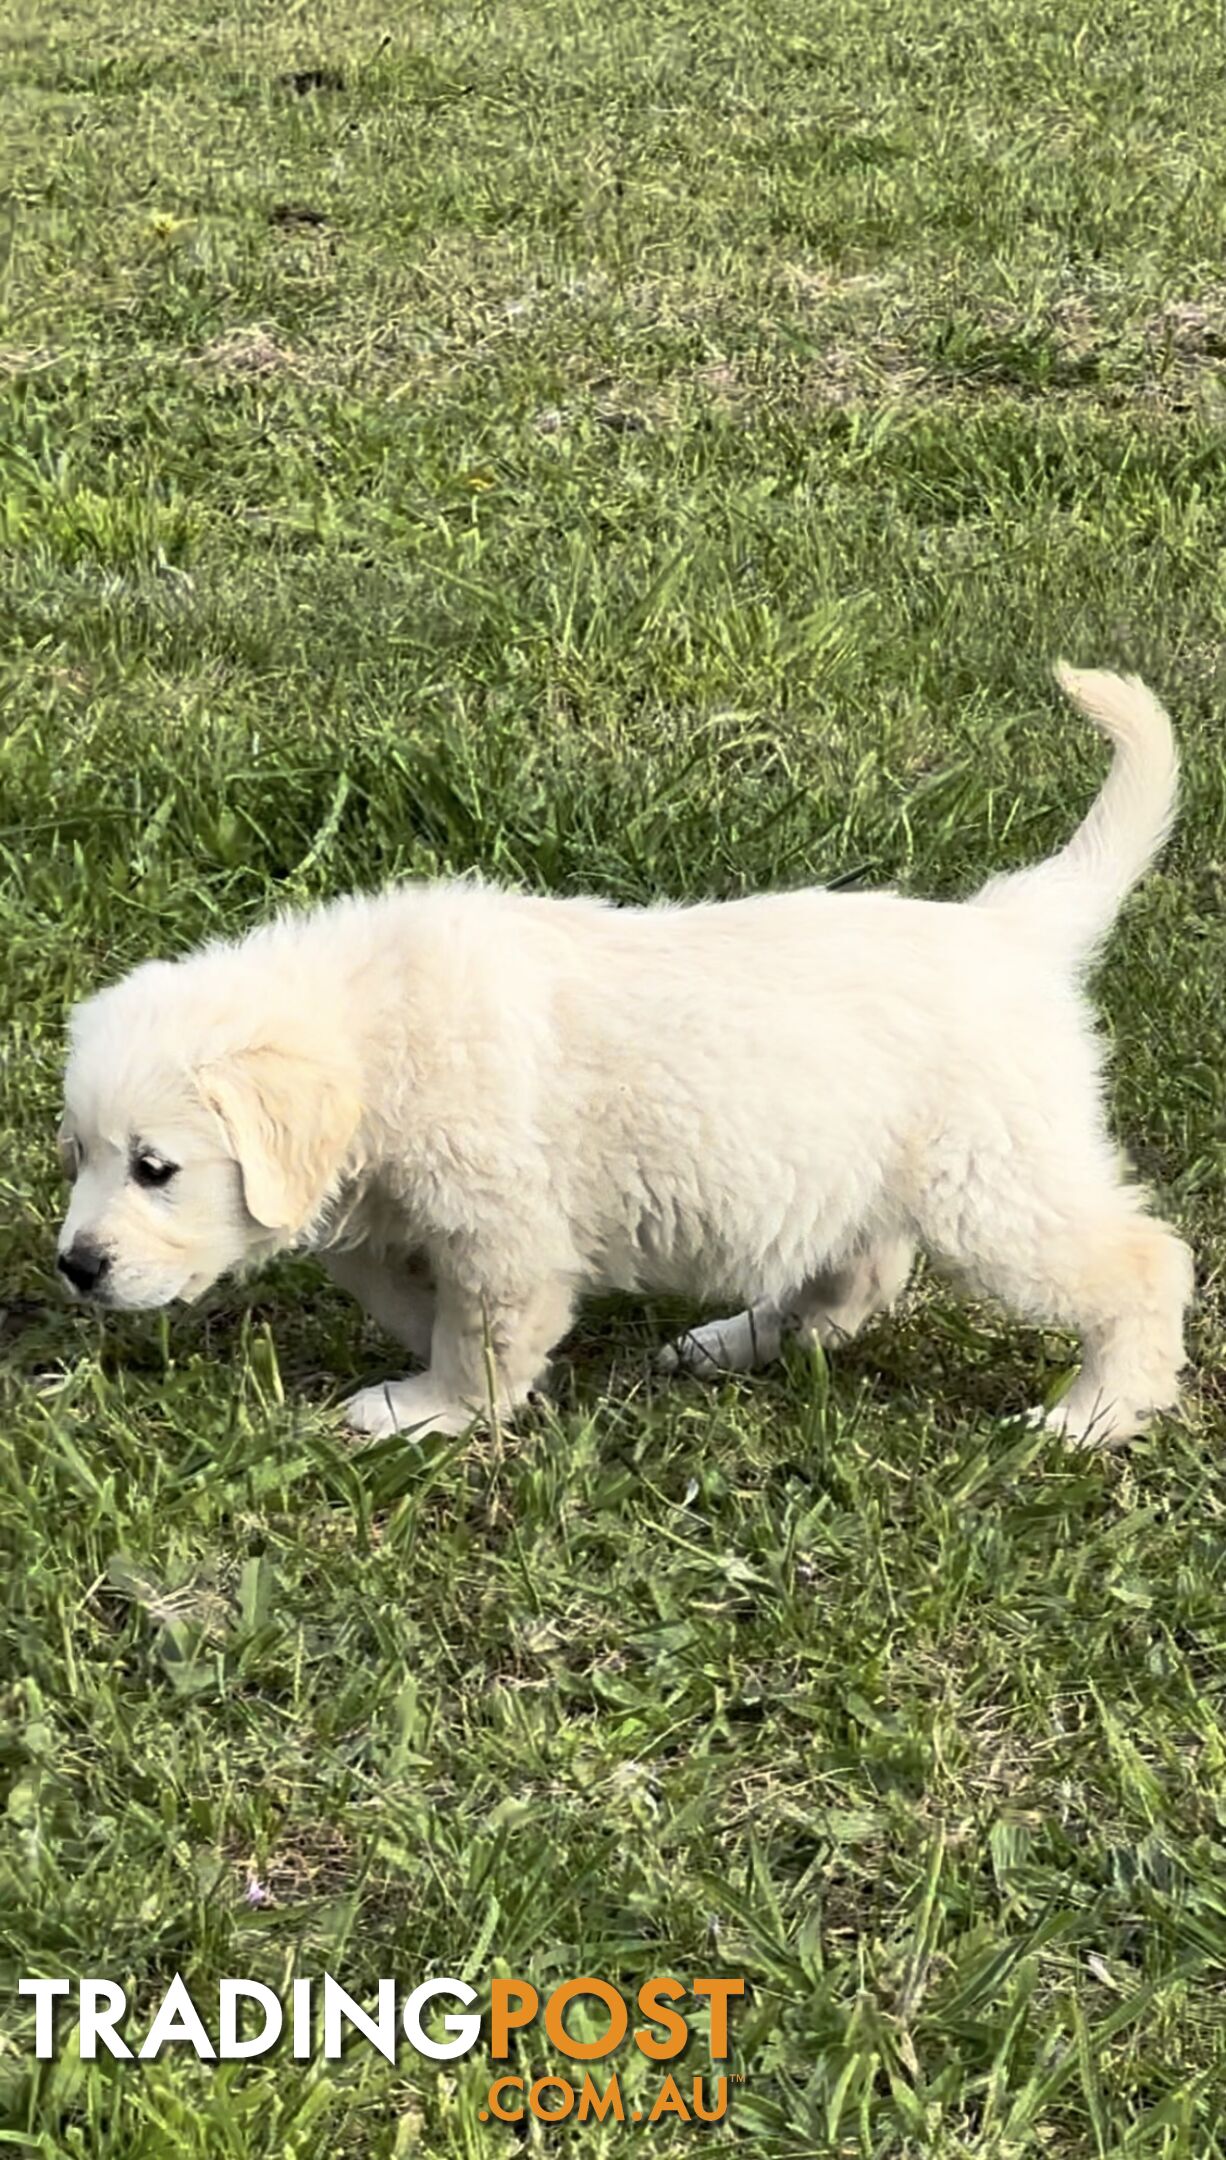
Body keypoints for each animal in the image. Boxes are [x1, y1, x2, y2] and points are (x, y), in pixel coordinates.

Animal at [55, 665, 1191, 1451]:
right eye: (79, 1156)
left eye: (154, 1168)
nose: (75, 1268)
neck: (373, 1025)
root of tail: (1009, 926)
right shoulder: (381, 1210)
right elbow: (397, 1290)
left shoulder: (501, 1224)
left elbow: (480, 1329)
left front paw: (432, 1409)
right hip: (853, 1169)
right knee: (854, 1278)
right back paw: (733, 1342)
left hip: (995, 1182)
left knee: (1142, 1263)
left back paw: (1093, 1416)